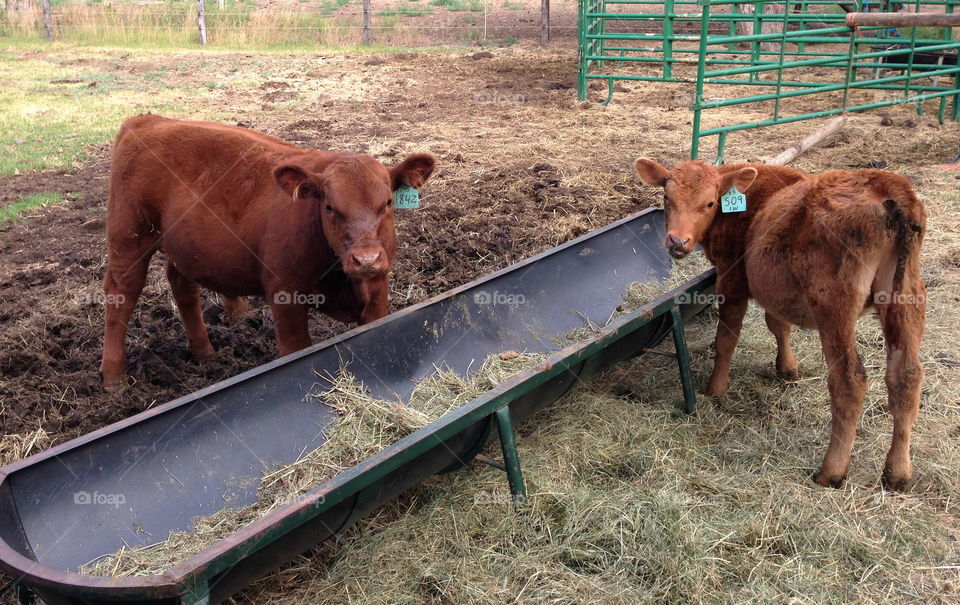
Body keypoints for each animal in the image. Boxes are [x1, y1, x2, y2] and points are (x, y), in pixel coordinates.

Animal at [100, 114, 436, 386]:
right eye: (329, 207)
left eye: (388, 203)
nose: (366, 259)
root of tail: (148, 121)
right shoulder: (285, 297)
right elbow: (296, 351)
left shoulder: (378, 293)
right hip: (129, 238)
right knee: (121, 293)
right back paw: (114, 378)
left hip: (182, 245)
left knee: (181, 283)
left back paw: (204, 352)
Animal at [632, 158, 928, 488]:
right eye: (666, 197)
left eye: (709, 203)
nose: (678, 241)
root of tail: (886, 187)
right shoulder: (774, 288)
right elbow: (778, 325)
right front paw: (786, 368)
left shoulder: (733, 278)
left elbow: (726, 339)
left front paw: (715, 389)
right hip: (907, 294)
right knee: (906, 376)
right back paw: (898, 472)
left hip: (834, 303)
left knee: (849, 380)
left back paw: (832, 471)